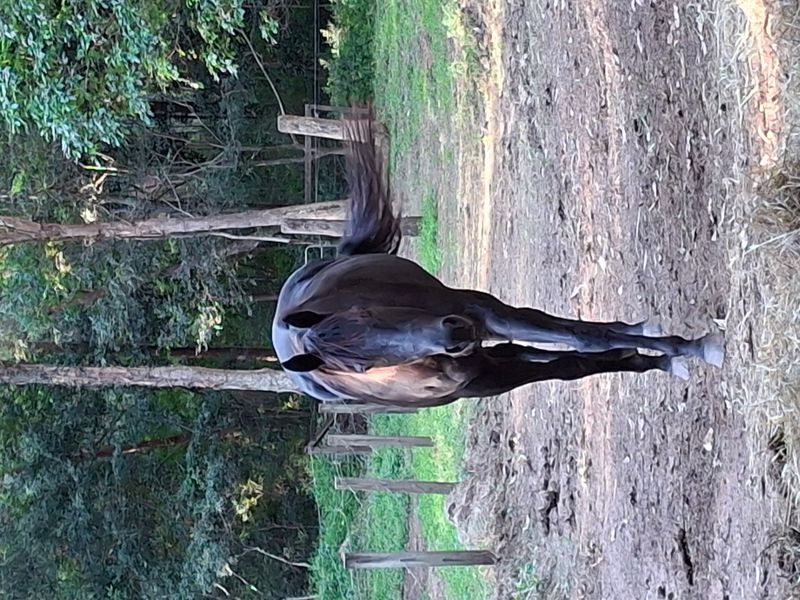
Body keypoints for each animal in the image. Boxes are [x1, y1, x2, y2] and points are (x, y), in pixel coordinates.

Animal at [272, 112, 724, 408]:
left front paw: (686, 348)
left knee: (560, 335)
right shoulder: (486, 377)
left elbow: (581, 339)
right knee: (535, 353)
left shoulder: (481, 313)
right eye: (359, 367)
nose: (453, 335)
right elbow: (572, 365)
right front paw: (655, 359)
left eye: (366, 312)